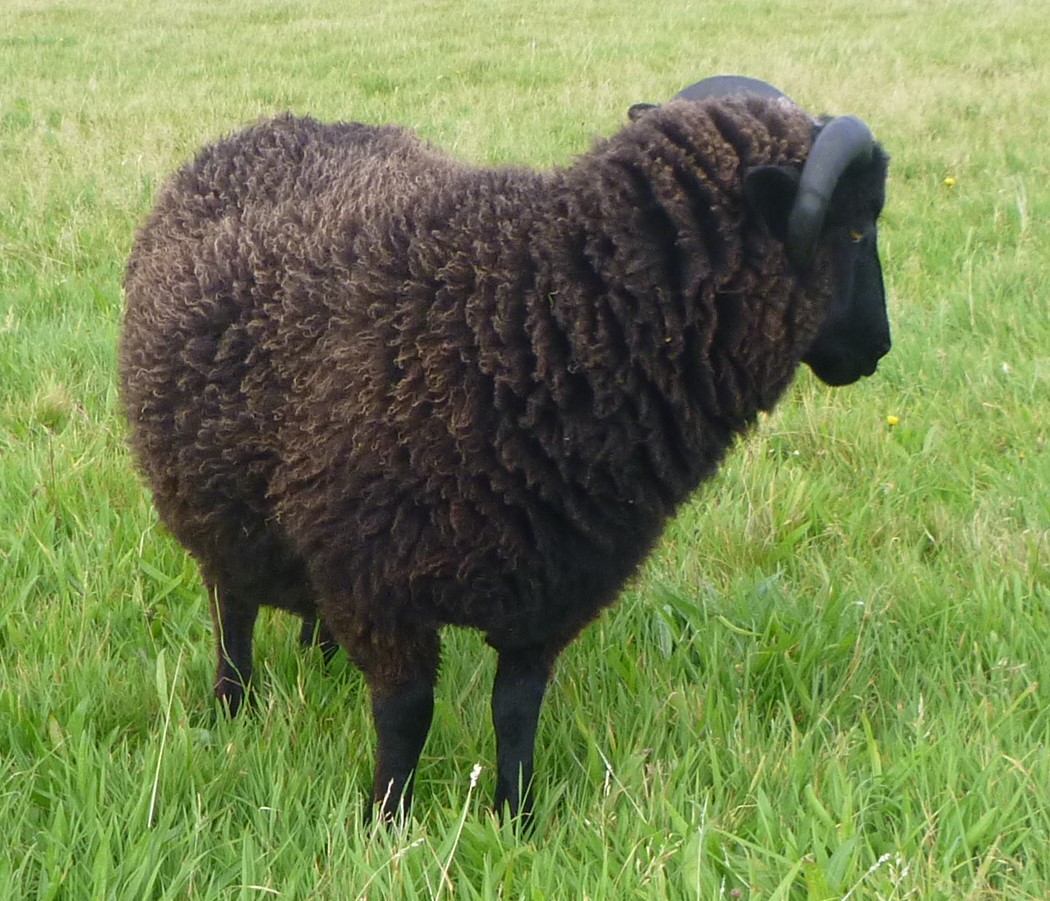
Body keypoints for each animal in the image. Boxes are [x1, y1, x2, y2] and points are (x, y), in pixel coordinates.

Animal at [119, 75, 891, 822]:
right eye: (855, 227)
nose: (878, 349)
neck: (542, 315)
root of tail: (267, 126)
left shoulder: (555, 582)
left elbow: (516, 711)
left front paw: (515, 817)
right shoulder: (380, 580)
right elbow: (406, 714)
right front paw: (386, 820)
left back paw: (324, 660)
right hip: (215, 503)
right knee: (232, 606)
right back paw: (232, 701)